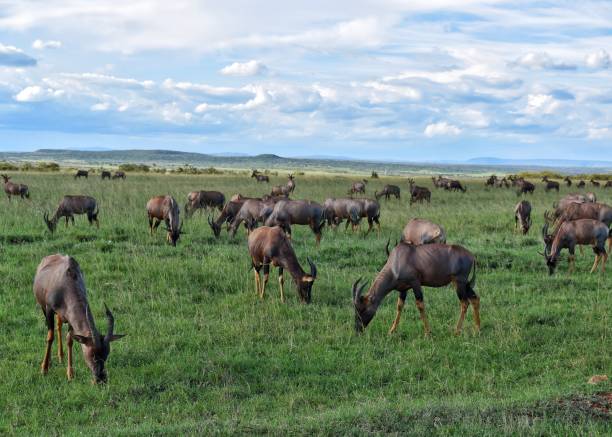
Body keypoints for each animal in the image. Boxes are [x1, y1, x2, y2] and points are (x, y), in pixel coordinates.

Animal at [32, 252, 126, 382]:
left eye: (106, 354)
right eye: (92, 354)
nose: (101, 379)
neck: (67, 281)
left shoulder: (71, 318)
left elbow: (70, 340)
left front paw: (70, 374)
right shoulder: (49, 309)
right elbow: (50, 337)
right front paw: (44, 369)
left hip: (62, 315)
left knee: (59, 326)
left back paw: (61, 357)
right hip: (43, 307)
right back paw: (50, 361)